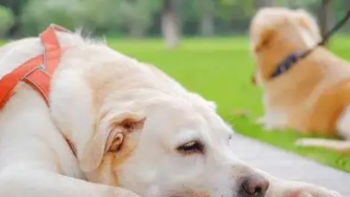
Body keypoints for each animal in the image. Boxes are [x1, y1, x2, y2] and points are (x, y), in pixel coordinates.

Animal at [0, 24, 342, 197]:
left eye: (228, 140)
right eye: (189, 147)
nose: (256, 188)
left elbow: (268, 173)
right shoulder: (17, 176)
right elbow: (118, 193)